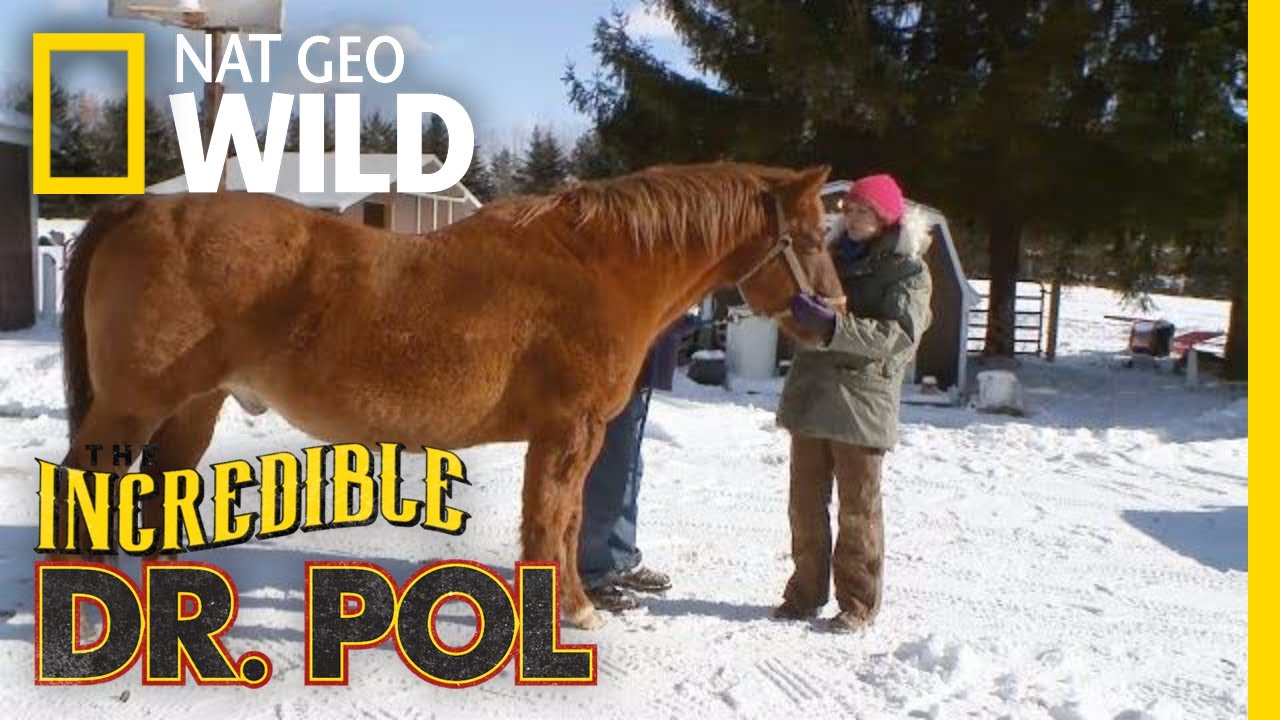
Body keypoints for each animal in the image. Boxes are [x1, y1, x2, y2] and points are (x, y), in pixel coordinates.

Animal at [52, 161, 844, 629]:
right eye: (810, 236)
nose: (834, 318)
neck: (600, 268)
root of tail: (139, 209)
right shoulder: (570, 431)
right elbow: (555, 523)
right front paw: (573, 611)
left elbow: (558, 522)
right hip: (132, 407)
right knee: (87, 488)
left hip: (194, 406)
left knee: (160, 486)